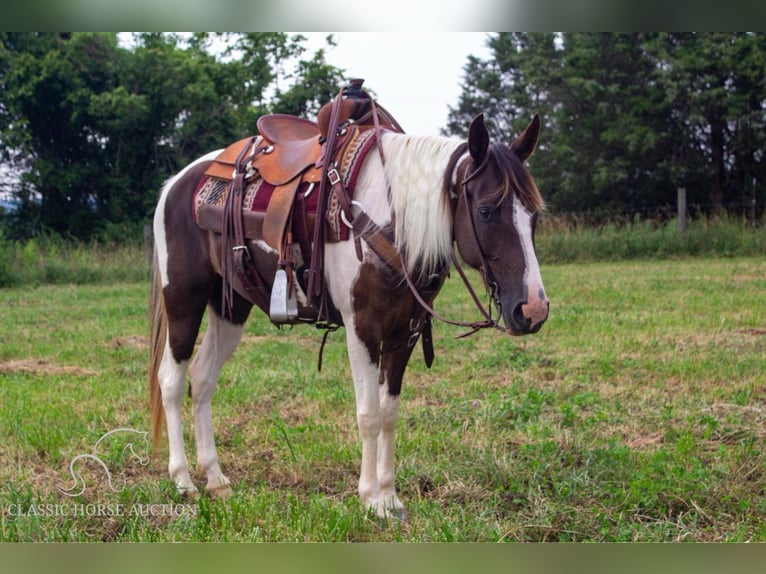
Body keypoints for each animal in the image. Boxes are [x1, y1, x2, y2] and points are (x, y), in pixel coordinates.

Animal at [147, 86, 548, 520]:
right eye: (487, 211)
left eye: (534, 216)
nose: (533, 310)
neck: (390, 218)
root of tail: (177, 183)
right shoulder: (363, 328)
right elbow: (369, 413)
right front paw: (371, 499)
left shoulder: (405, 332)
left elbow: (389, 412)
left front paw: (390, 497)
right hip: (184, 298)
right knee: (172, 380)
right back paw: (183, 480)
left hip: (231, 306)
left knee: (203, 379)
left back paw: (216, 479)